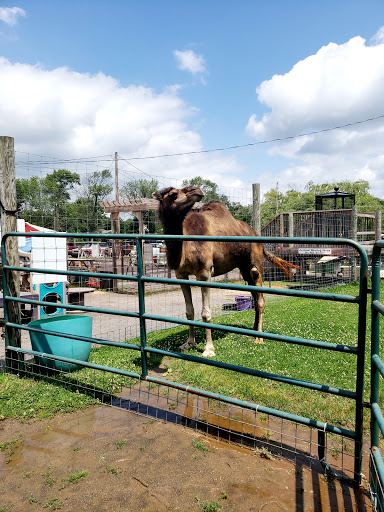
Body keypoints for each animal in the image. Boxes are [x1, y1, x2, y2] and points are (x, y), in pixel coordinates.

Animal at [152, 184, 298, 356]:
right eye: (173, 194)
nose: (196, 190)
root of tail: (257, 235)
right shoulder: (180, 274)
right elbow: (189, 311)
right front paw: (188, 343)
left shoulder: (204, 273)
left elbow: (206, 313)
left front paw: (209, 349)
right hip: (244, 269)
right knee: (255, 296)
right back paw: (253, 330)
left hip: (256, 263)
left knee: (260, 297)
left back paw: (259, 337)